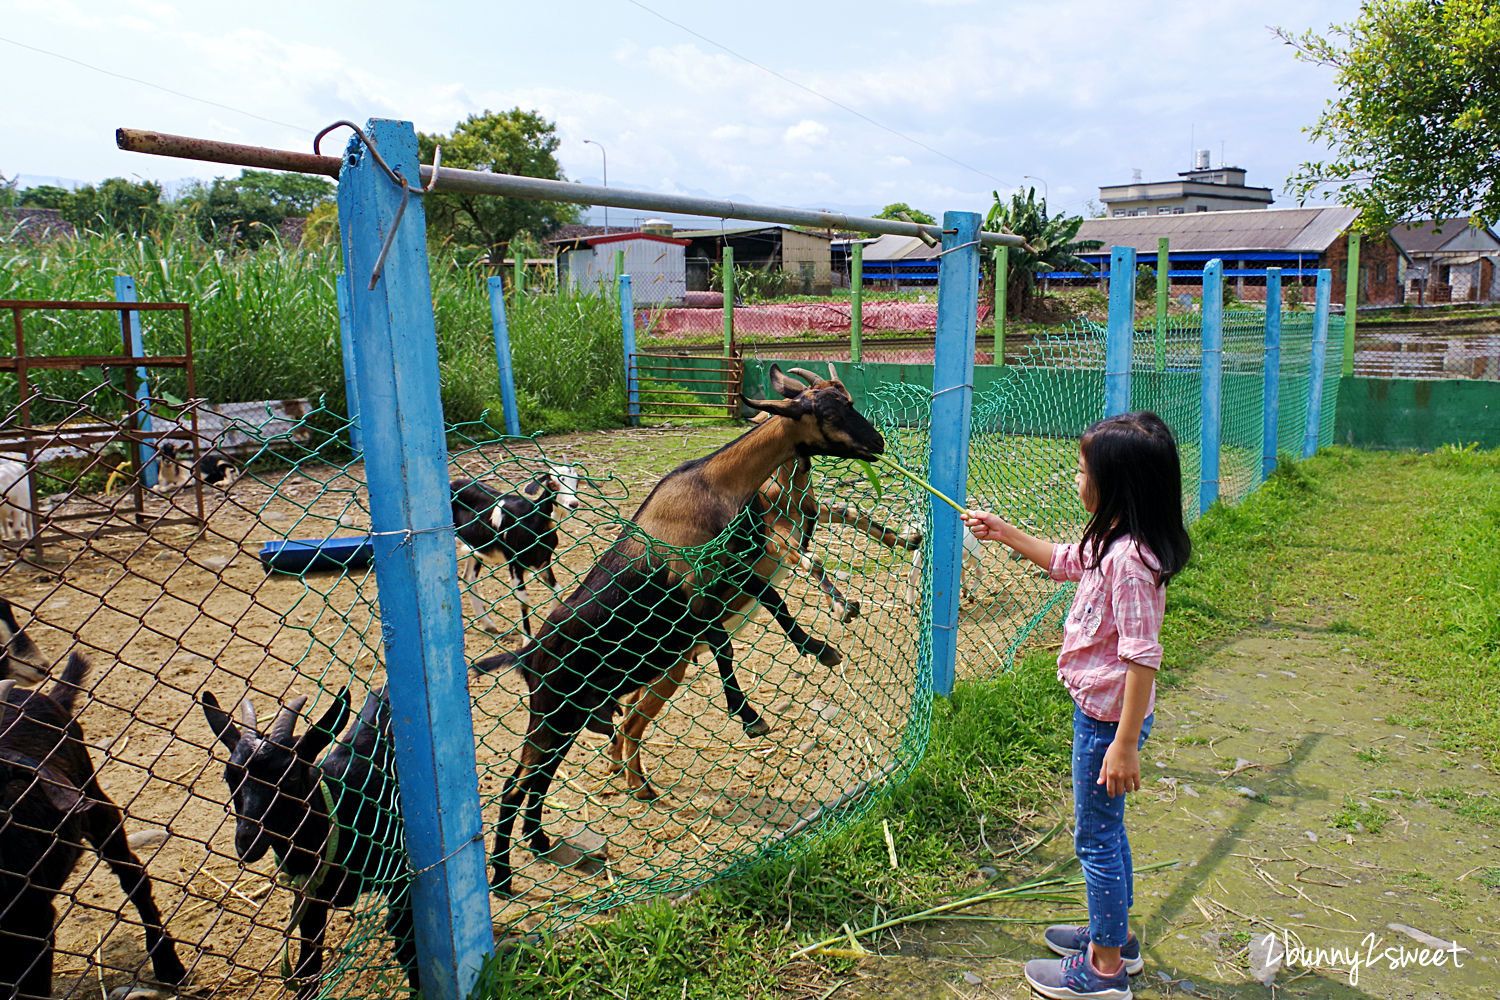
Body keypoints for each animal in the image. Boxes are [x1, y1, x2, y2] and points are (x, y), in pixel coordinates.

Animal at [198, 689, 417, 1000]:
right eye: (229, 776)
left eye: (290, 776)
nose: (247, 840)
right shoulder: (308, 896)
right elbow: (307, 969)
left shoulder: (400, 877)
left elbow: (409, 949)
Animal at [447, 464, 576, 638]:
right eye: (553, 484)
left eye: (576, 482)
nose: (573, 504)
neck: (533, 519)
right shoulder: (515, 563)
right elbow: (524, 602)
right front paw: (528, 640)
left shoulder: (543, 561)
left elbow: (559, 591)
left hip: (476, 546)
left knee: (469, 578)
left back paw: (488, 625)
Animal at [474, 365, 882, 893]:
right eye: (830, 413)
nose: (877, 443)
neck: (714, 486)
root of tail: (527, 657)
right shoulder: (695, 584)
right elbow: (724, 642)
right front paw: (750, 715)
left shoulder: (731, 569)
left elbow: (771, 602)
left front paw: (817, 647)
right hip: (552, 712)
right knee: (515, 783)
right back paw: (503, 876)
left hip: (572, 716)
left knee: (537, 779)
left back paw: (539, 841)